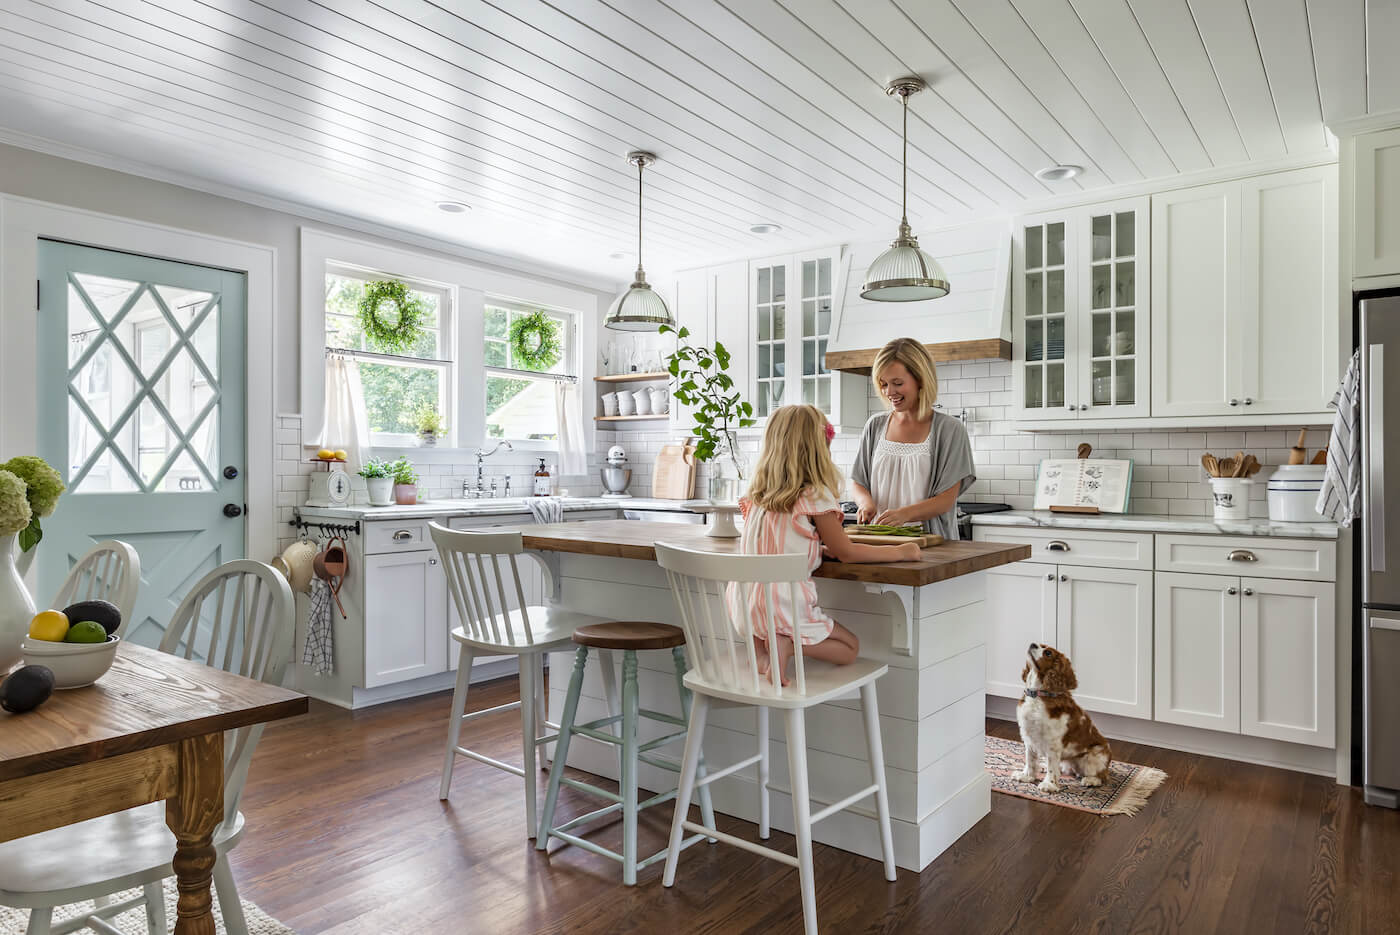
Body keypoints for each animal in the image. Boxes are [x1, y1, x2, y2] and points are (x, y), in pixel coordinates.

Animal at [1013, 646, 1108, 795]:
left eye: (1048, 653)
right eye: (1039, 644)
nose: (1032, 644)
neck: (1037, 695)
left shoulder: (1053, 743)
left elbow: (1052, 766)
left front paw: (1049, 785)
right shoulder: (1028, 736)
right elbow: (1030, 759)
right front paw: (1026, 776)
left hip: (1095, 756)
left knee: (1101, 776)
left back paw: (1090, 780)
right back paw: (1043, 766)